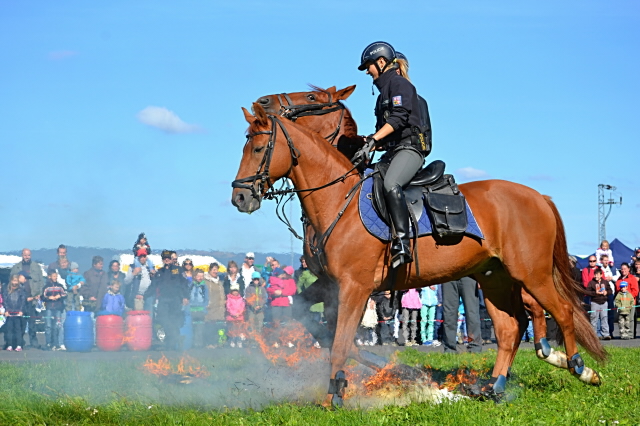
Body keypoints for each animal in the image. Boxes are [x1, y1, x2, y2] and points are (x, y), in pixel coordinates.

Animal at [231, 102, 604, 406]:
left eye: (259, 147)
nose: (240, 198)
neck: (339, 200)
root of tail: (539, 196)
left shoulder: (355, 288)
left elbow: (340, 343)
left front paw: (332, 396)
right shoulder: (330, 286)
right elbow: (324, 331)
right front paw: (392, 376)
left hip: (532, 274)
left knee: (562, 312)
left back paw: (578, 367)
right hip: (494, 278)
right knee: (511, 328)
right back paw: (495, 387)